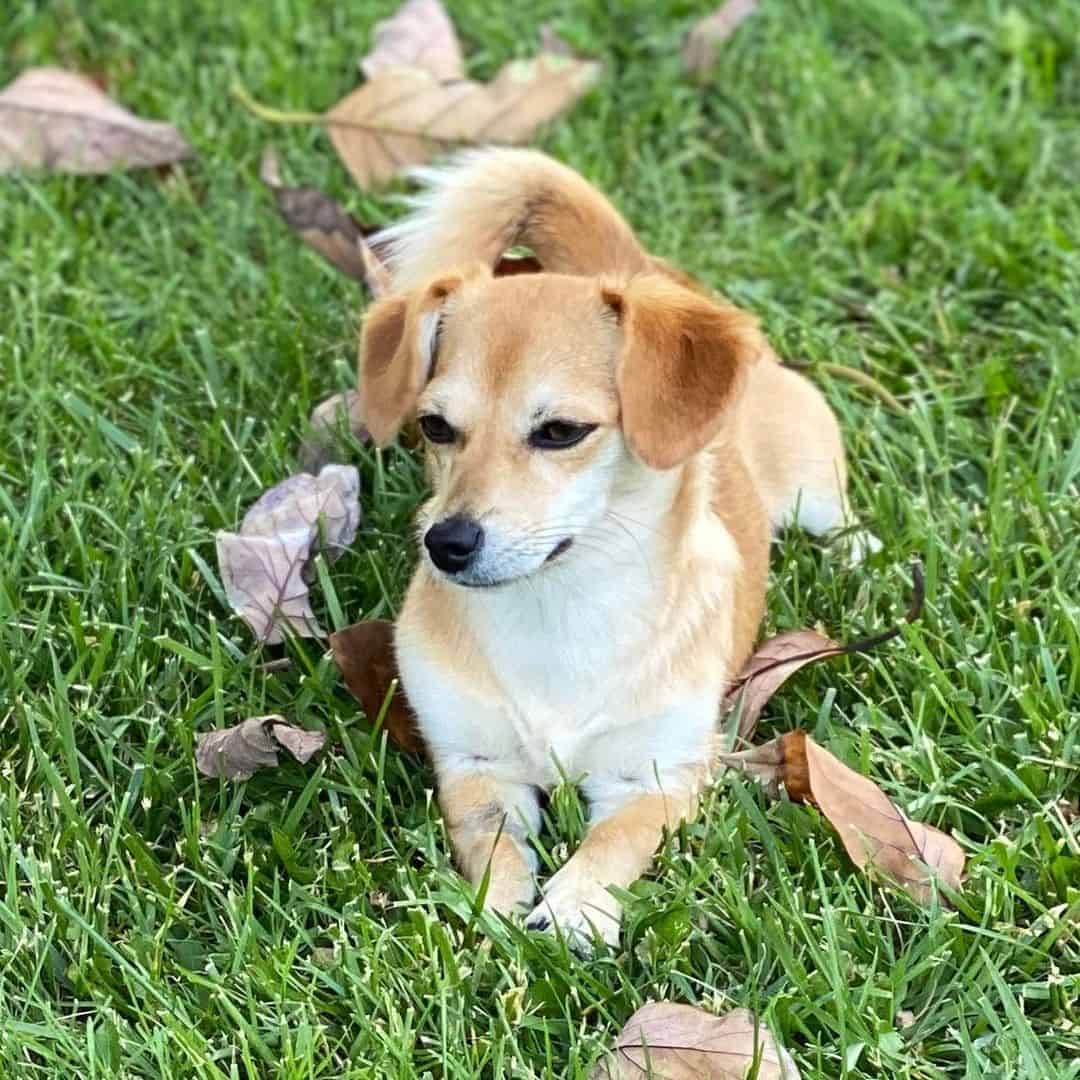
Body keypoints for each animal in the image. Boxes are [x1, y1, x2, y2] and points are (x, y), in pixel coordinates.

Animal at [360, 150, 876, 946]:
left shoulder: (654, 778)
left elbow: (614, 840)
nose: (447, 543)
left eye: (560, 431)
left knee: (845, 522)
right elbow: (493, 843)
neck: (559, 610)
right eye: (436, 427)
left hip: (811, 489)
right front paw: (501, 913)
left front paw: (574, 908)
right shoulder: (477, 766)